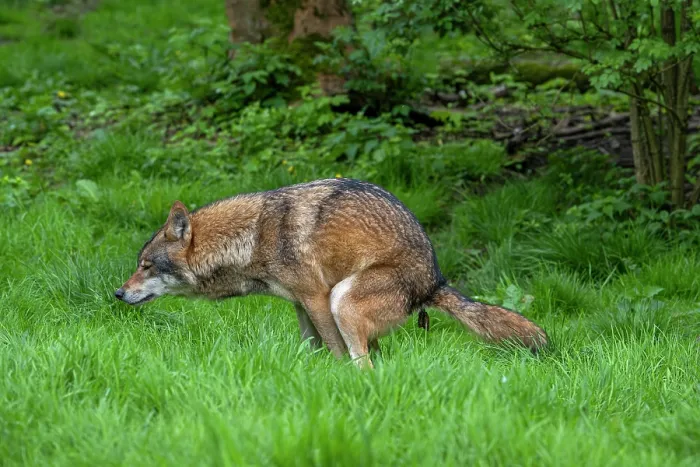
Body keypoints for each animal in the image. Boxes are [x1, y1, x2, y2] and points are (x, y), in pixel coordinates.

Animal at [115, 178, 547, 367]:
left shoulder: (318, 299)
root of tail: (435, 280)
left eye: (146, 266)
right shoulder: (300, 305)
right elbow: (311, 349)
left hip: (343, 300)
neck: (252, 237)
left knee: (365, 363)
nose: (118, 293)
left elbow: (336, 353)